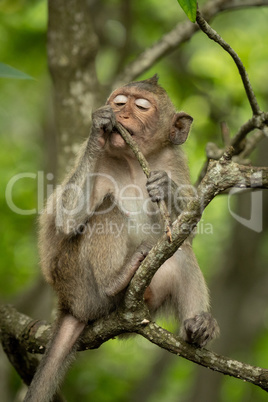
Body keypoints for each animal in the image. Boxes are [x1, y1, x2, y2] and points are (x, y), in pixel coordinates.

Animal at [24, 75, 219, 402]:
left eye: (141, 106)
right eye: (118, 102)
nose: (121, 115)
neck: (132, 160)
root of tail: (67, 304)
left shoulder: (173, 160)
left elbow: (187, 232)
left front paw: (165, 188)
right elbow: (65, 219)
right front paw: (99, 125)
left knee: (178, 250)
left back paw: (197, 327)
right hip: (78, 284)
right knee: (107, 208)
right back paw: (114, 281)